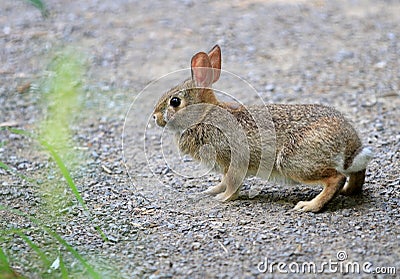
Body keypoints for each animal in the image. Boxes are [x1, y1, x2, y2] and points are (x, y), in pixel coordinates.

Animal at [152, 45, 374, 212]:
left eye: (174, 102)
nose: (155, 117)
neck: (204, 115)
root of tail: (350, 144)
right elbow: (223, 181)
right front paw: (211, 191)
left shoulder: (233, 161)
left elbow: (232, 183)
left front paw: (223, 199)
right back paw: (347, 191)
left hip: (293, 162)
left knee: (336, 178)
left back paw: (308, 206)